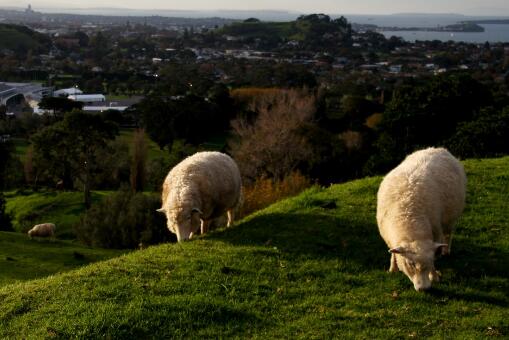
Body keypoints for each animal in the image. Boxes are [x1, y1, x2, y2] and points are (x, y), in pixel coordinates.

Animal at [376, 147, 466, 290]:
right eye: (410, 263)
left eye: (430, 261)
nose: (424, 289)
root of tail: (439, 149)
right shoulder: (389, 239)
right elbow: (393, 253)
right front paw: (392, 269)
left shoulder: (436, 231)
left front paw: (434, 276)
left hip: (450, 217)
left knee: (448, 234)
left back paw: (446, 251)